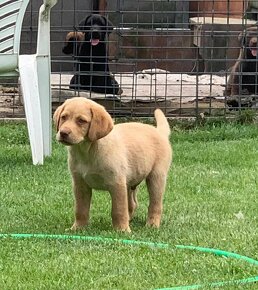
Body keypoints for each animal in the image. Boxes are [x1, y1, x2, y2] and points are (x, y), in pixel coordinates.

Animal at [53, 98, 172, 232]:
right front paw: (78, 228)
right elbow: (80, 209)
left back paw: (152, 224)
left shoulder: (117, 184)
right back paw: (130, 219)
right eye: (63, 117)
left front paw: (122, 230)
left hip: (156, 177)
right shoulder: (80, 185)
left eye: (81, 121)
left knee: (155, 204)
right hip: (129, 182)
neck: (87, 151)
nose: (63, 133)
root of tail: (158, 132)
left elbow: (118, 210)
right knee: (132, 204)